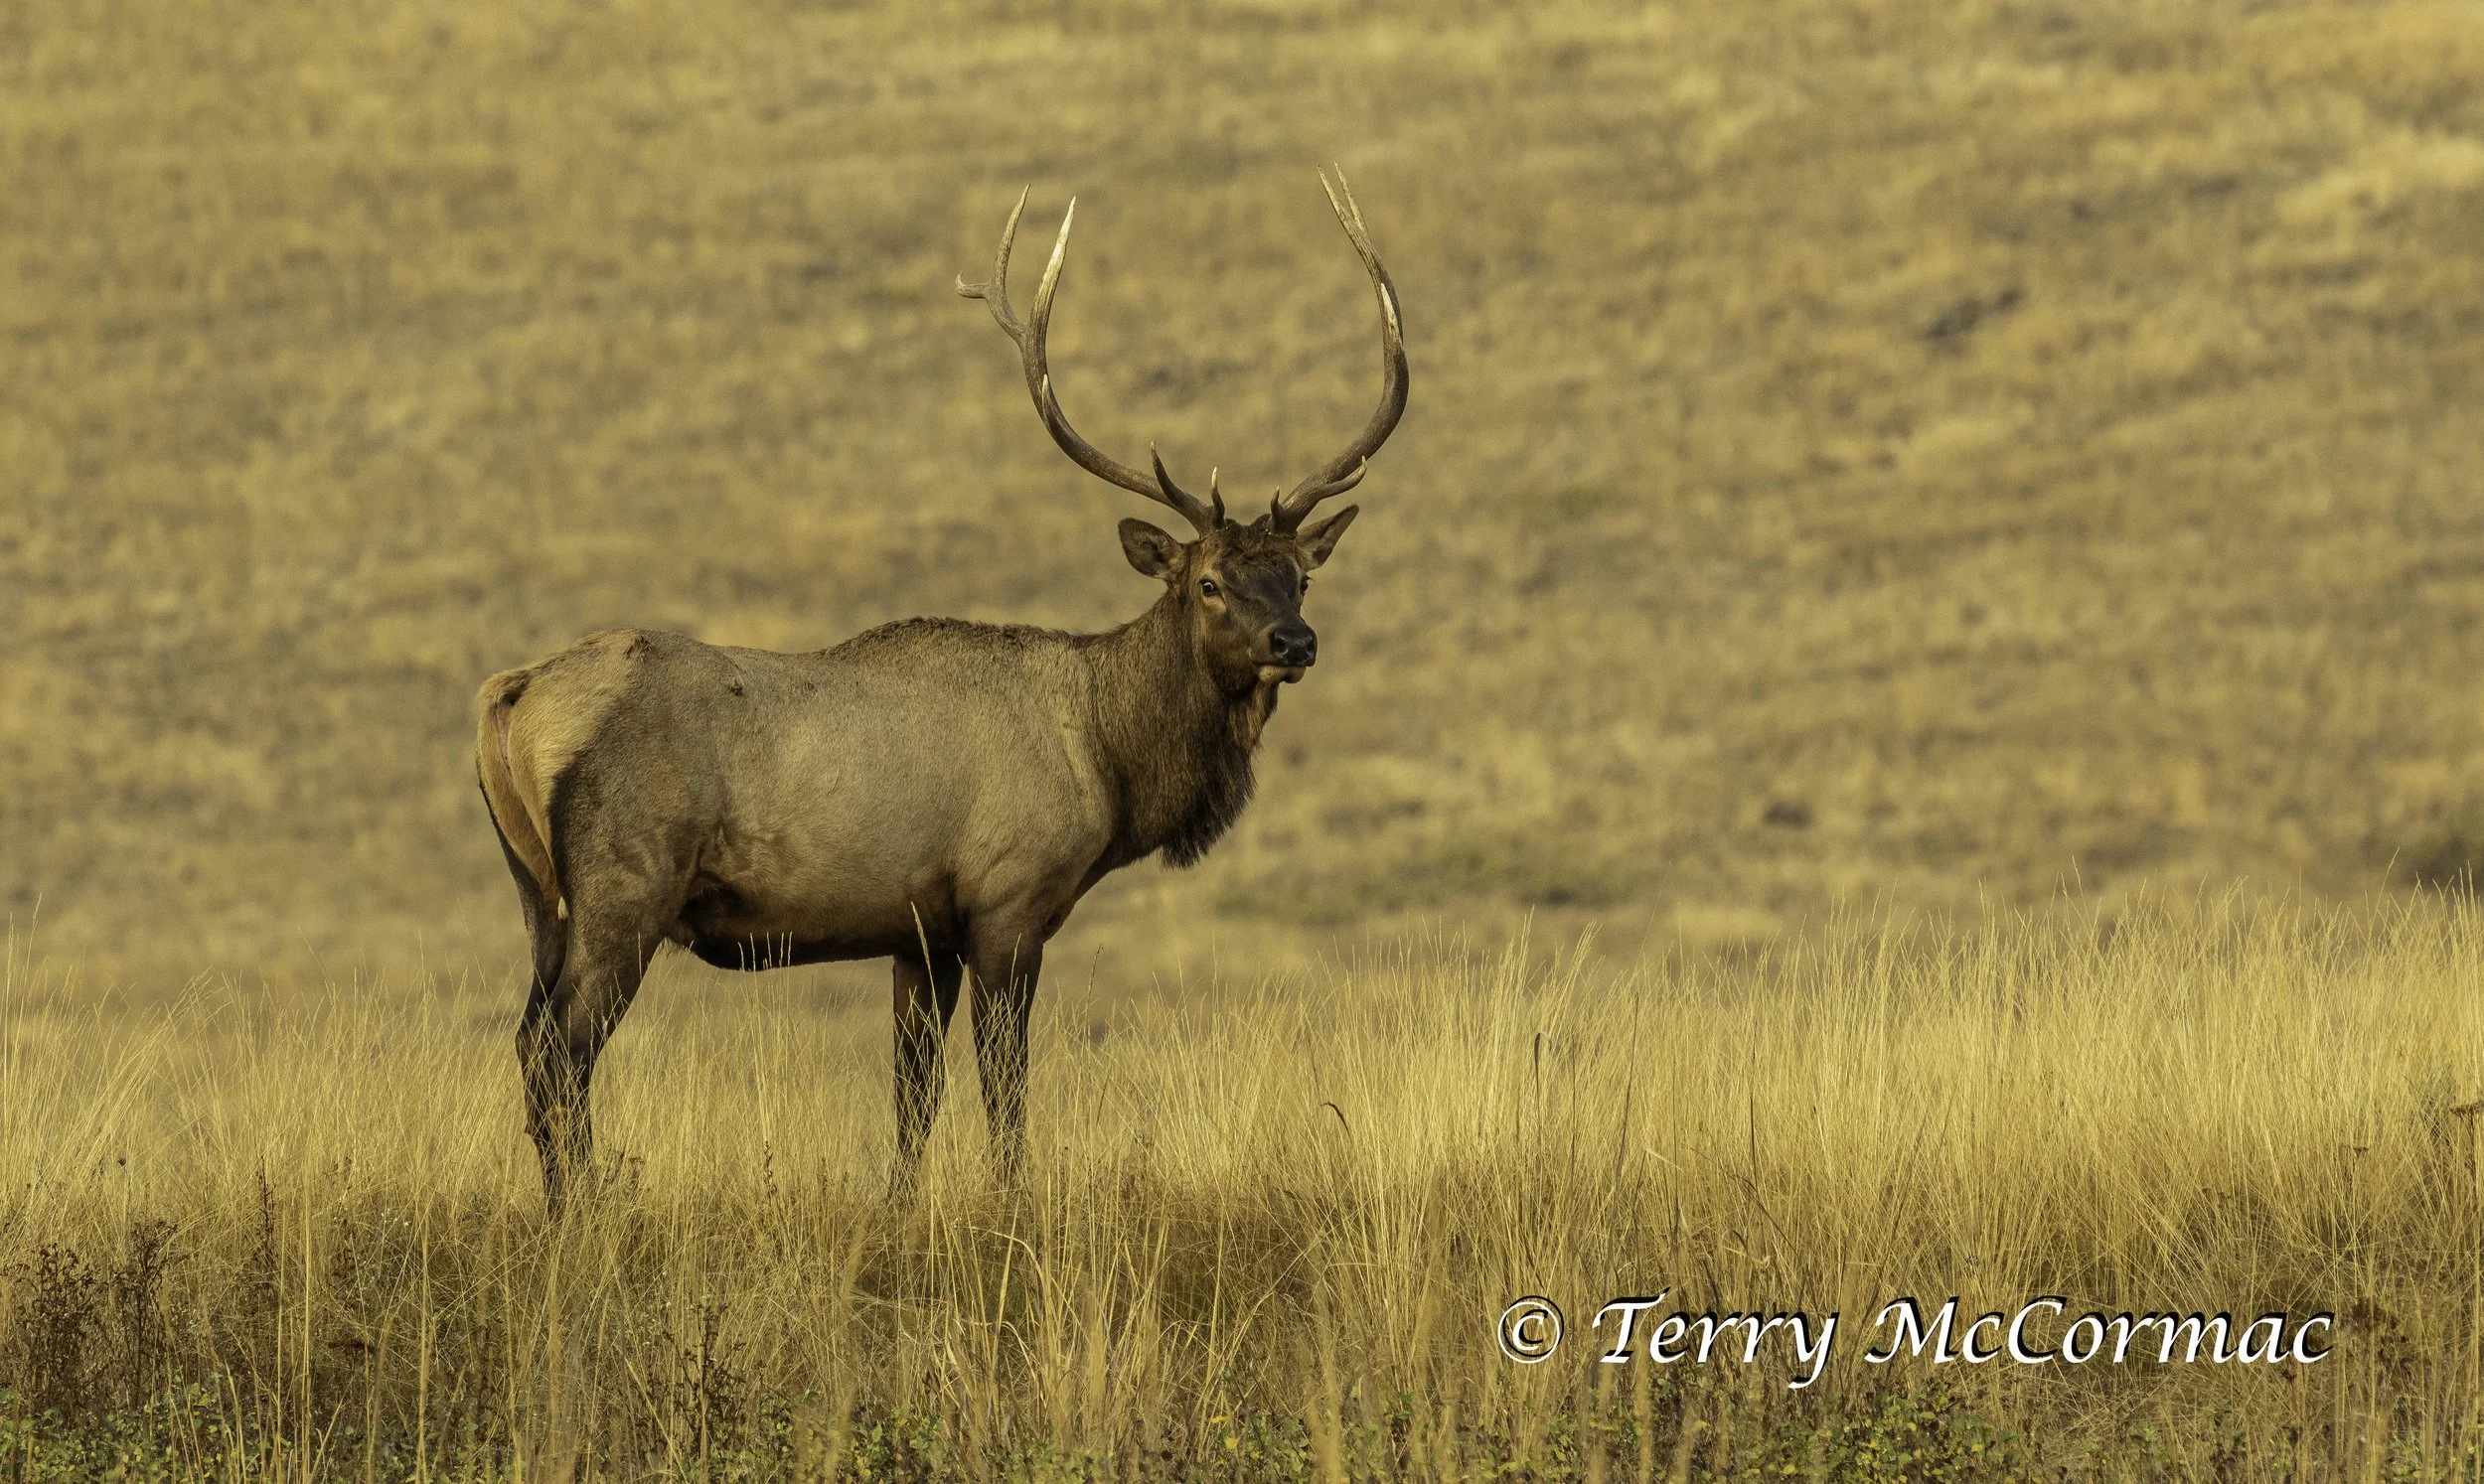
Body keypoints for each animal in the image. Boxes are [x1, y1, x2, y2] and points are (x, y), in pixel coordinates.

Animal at [473, 172, 1407, 1210]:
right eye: (1208, 581)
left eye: (1300, 577)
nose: (1296, 641)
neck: (1109, 758)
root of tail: (509, 697)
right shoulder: (1008, 901)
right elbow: (1004, 1081)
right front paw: (1012, 1201)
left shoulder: (919, 933)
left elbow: (912, 1091)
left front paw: (902, 1204)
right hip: (622, 886)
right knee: (561, 1051)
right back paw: (581, 1209)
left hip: (537, 896)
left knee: (527, 1041)